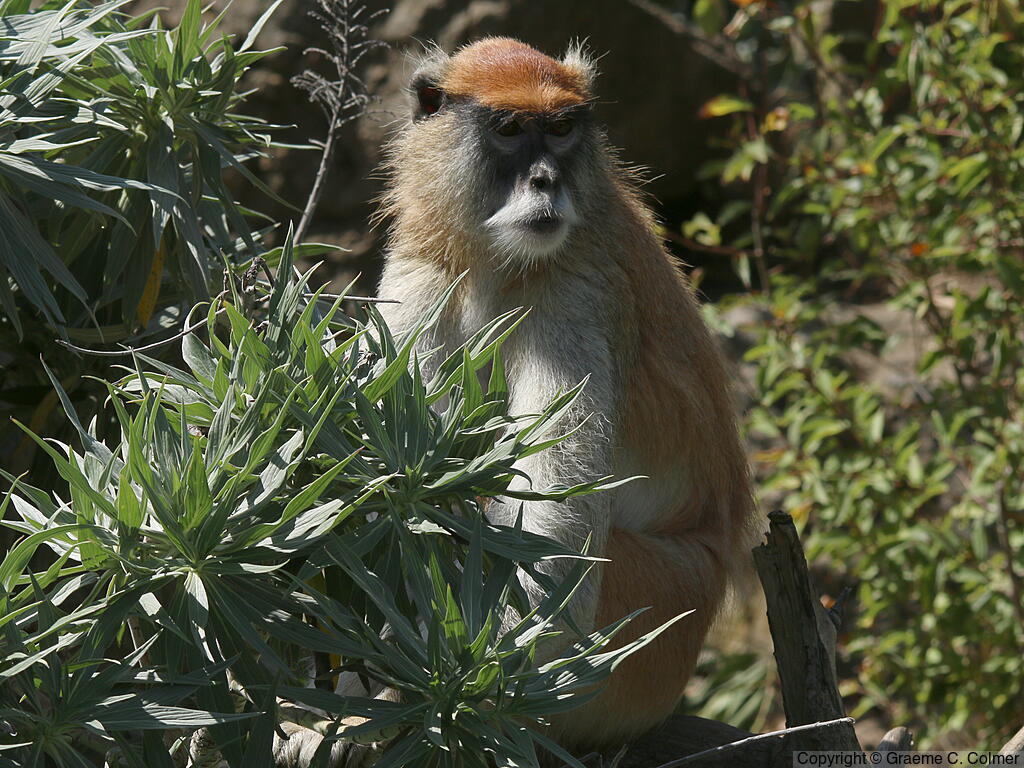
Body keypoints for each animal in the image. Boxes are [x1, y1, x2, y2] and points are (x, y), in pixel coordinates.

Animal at [374, 37, 755, 752]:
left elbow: (554, 537)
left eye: (560, 129)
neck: (495, 261)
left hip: (651, 626)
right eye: (509, 130)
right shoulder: (422, 270)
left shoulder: (573, 302)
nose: (546, 180)